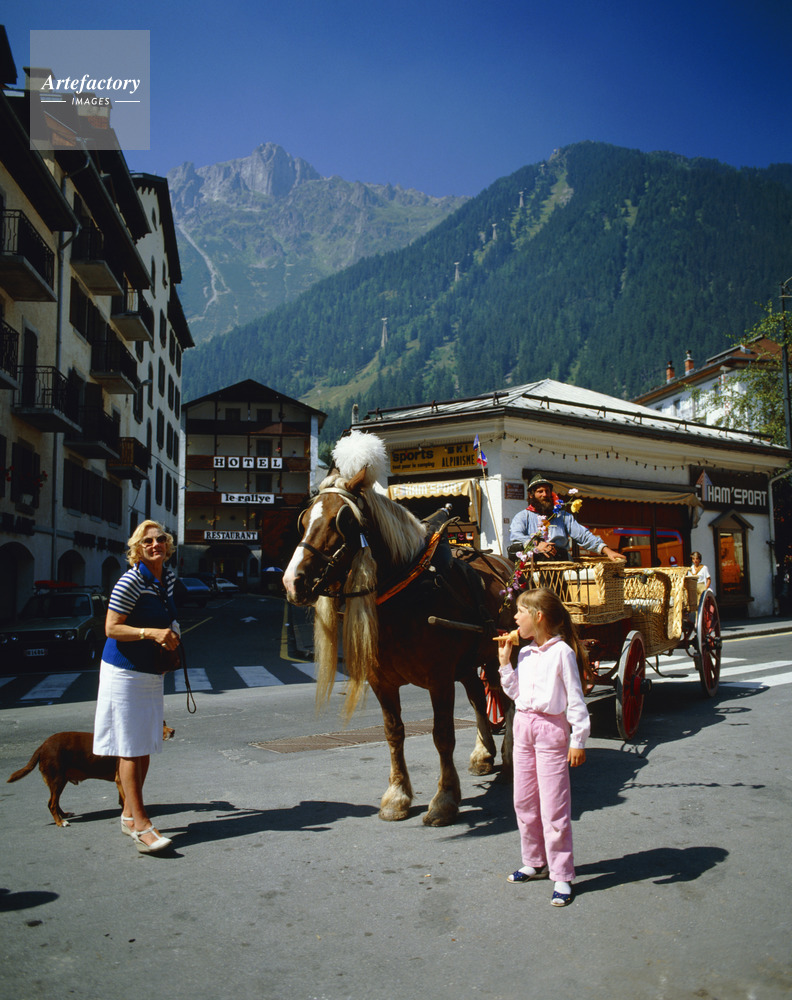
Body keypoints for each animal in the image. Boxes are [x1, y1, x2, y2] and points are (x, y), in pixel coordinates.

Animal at [6, 722, 175, 827]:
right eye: (158, 725)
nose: (173, 731)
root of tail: (42, 746)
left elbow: (123, 800)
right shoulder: (121, 779)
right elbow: (127, 799)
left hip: (60, 780)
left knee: (55, 802)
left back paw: (64, 815)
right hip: (57, 779)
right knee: (51, 804)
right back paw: (60, 822)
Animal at [282, 431, 515, 826]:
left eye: (342, 522)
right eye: (304, 520)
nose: (292, 582)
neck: (407, 591)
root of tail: (506, 563)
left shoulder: (439, 678)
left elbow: (442, 734)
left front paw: (444, 800)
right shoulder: (382, 681)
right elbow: (394, 733)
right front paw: (397, 795)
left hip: (502, 653)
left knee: (508, 698)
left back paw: (511, 755)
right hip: (471, 661)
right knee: (478, 698)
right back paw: (484, 754)